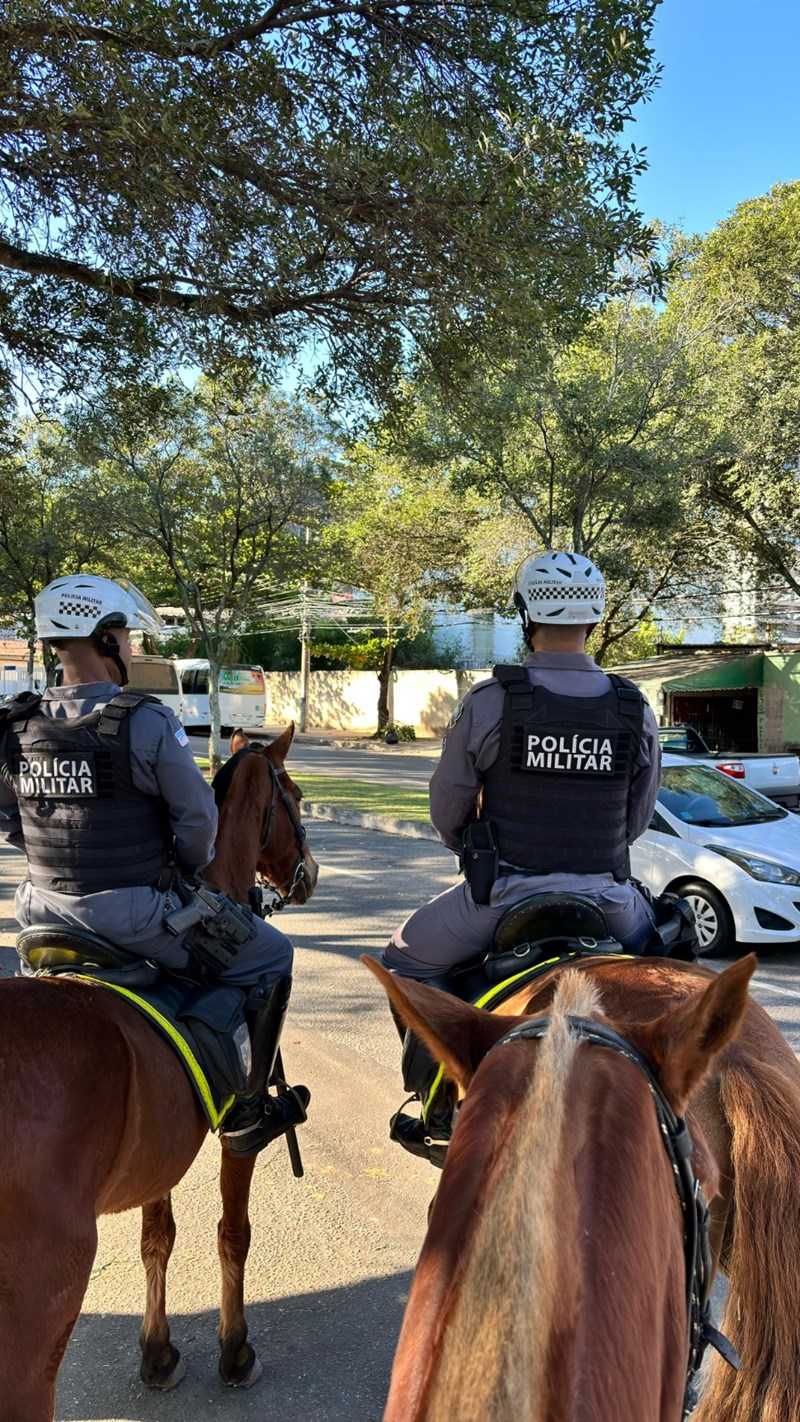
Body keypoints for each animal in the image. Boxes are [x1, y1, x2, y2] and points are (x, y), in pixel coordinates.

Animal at [0, 722, 319, 1422]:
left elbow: (158, 1237)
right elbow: (233, 1232)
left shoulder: (158, 1152)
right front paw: (234, 1349)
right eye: (296, 796)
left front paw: (158, 1353)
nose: (309, 874)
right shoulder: (236, 1140)